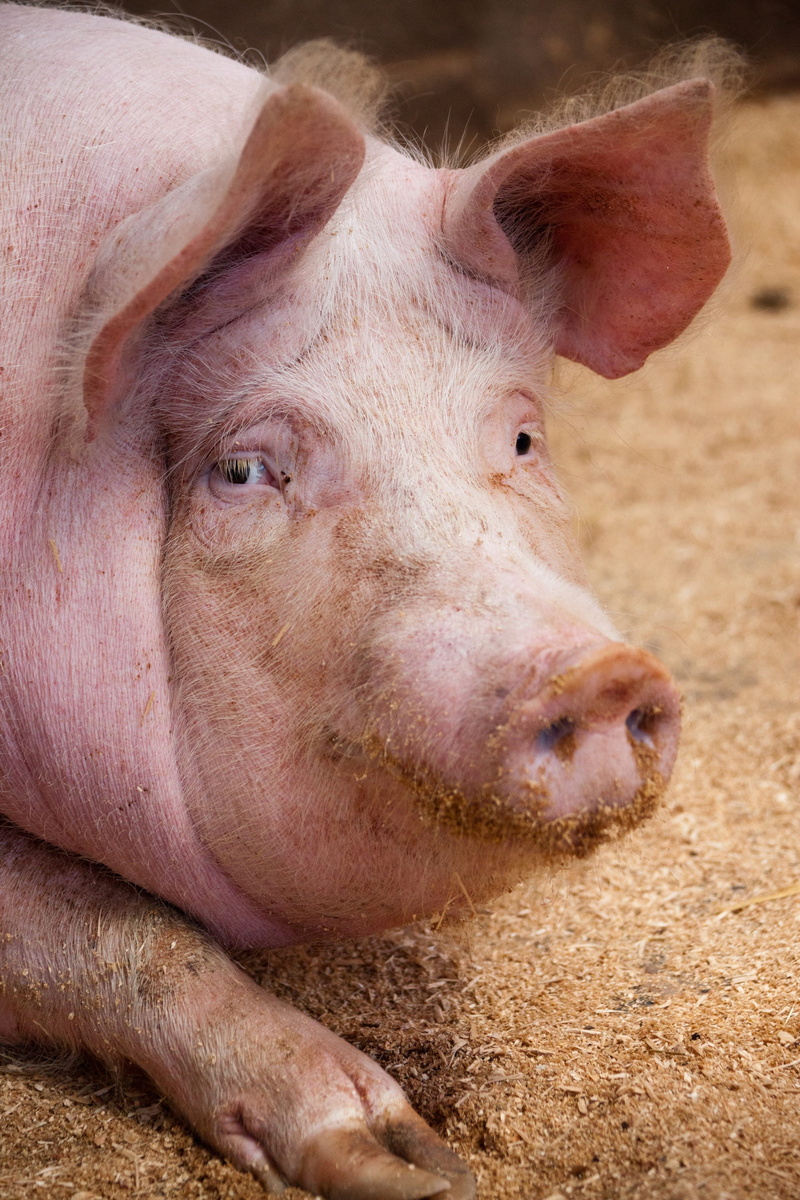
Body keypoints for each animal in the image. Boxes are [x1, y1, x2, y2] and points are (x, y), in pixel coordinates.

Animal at [0, 4, 731, 1197]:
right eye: (245, 469)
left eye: (520, 438)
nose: (596, 671)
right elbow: (112, 929)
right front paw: (405, 1162)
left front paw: (431, 1165)